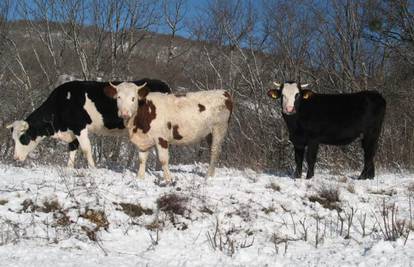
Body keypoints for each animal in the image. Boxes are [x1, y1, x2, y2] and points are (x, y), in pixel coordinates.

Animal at [6, 78, 171, 169]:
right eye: (13, 139)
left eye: (23, 138)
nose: (15, 158)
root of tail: (163, 84)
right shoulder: (72, 131)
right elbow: (72, 149)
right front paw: (69, 170)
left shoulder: (80, 127)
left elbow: (86, 149)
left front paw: (93, 169)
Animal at [104, 81, 233, 182]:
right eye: (119, 97)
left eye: (133, 98)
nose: (125, 113)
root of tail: (224, 92)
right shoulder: (143, 140)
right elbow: (141, 159)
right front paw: (139, 178)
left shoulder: (161, 138)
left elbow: (163, 159)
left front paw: (168, 179)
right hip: (209, 133)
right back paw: (211, 175)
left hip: (219, 128)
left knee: (215, 151)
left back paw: (208, 177)